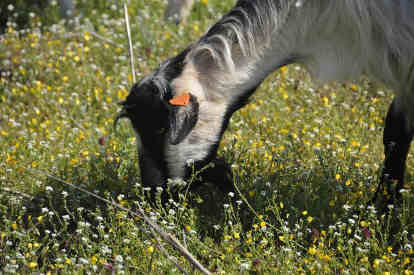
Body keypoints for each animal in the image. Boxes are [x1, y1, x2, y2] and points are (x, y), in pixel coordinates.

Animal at [115, 0, 414, 205]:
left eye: (161, 129)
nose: (153, 195)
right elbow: (395, 134)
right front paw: (384, 208)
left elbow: (396, 134)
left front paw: (383, 209)